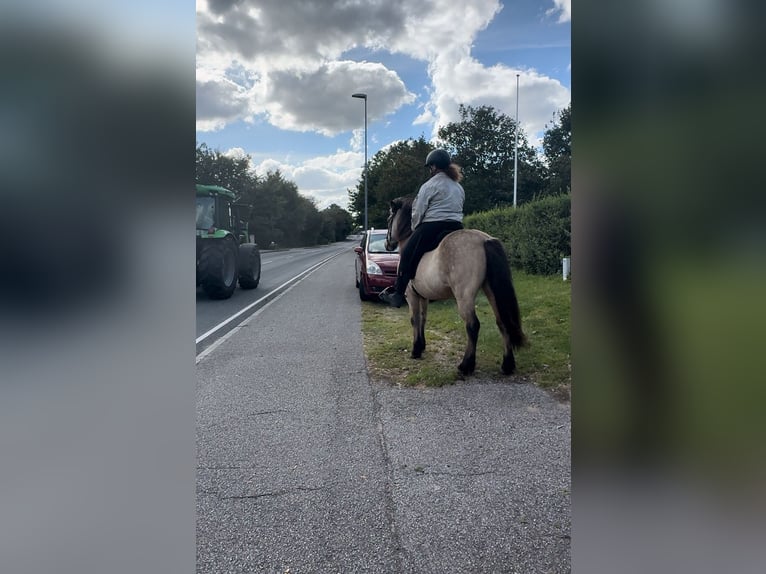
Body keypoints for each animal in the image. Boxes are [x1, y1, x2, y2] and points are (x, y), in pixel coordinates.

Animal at [384, 198, 528, 378]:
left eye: (389, 218)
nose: (387, 244)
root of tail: (484, 240)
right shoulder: (423, 296)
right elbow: (423, 319)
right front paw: (422, 346)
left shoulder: (411, 295)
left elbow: (414, 319)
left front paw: (416, 350)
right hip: (491, 292)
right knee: (502, 322)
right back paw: (507, 365)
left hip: (464, 296)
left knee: (473, 325)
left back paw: (466, 366)